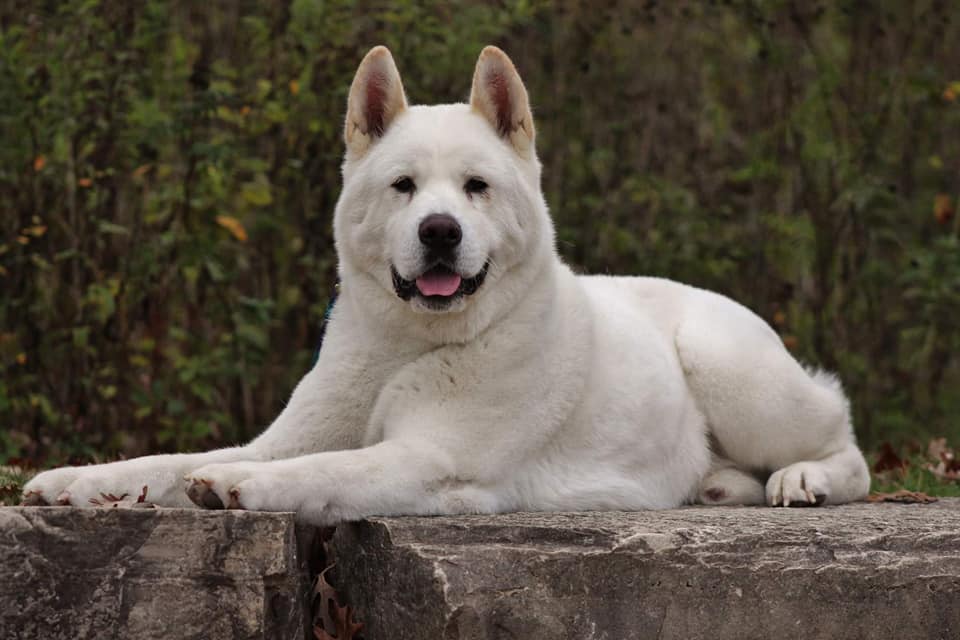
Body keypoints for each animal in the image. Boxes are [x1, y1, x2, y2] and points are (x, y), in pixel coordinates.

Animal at [22, 45, 872, 524]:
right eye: (403, 186)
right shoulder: (285, 436)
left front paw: (231, 486)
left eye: (475, 188)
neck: (405, 347)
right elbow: (165, 462)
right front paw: (78, 482)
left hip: (730, 369)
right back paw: (723, 486)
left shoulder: (429, 461)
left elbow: (323, 470)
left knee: (846, 441)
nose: (440, 232)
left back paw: (803, 479)